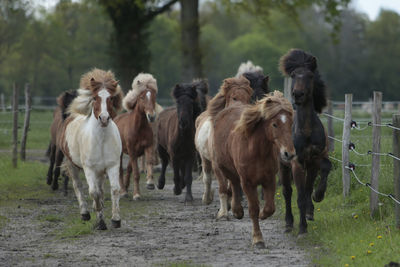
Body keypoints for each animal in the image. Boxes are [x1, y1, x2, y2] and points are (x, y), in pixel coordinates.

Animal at [59, 69, 123, 230]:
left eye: (111, 98)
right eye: (95, 97)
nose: (104, 119)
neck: (101, 140)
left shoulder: (112, 166)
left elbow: (114, 189)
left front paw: (115, 219)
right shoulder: (89, 168)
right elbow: (94, 193)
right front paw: (100, 222)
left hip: (100, 171)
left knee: (100, 189)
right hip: (72, 164)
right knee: (78, 186)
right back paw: (85, 213)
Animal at [114, 72, 158, 200]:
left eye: (154, 96)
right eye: (142, 97)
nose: (151, 116)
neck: (139, 128)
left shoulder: (147, 147)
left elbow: (149, 162)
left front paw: (150, 183)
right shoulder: (132, 151)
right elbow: (136, 173)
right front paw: (137, 195)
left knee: (128, 169)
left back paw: (125, 188)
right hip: (121, 153)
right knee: (121, 170)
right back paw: (123, 191)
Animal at [212, 91, 294, 249]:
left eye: (291, 123)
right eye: (274, 124)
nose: (289, 153)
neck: (257, 151)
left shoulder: (269, 180)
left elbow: (269, 207)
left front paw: (263, 214)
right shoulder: (248, 183)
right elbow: (253, 209)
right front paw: (258, 239)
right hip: (225, 168)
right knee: (234, 183)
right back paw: (237, 210)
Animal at [278, 49, 332, 236]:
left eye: (310, 75)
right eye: (294, 75)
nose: (298, 94)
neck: (307, 131)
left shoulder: (316, 158)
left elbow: (326, 168)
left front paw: (319, 195)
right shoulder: (297, 163)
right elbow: (299, 195)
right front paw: (302, 228)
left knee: (307, 187)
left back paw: (309, 211)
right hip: (283, 165)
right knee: (287, 192)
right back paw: (288, 223)